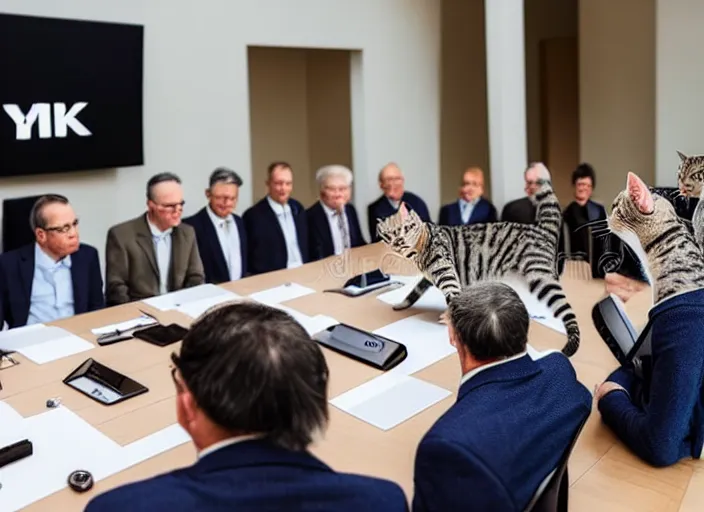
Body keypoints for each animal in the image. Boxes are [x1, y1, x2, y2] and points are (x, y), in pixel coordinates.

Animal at [376, 162, 580, 358]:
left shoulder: (446, 272)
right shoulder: (429, 277)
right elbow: (413, 292)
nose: (399, 241)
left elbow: (451, 298)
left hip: (542, 281)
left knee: (569, 313)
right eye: (388, 235)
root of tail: (541, 229)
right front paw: (402, 304)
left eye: (406, 228)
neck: (418, 252)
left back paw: (570, 346)